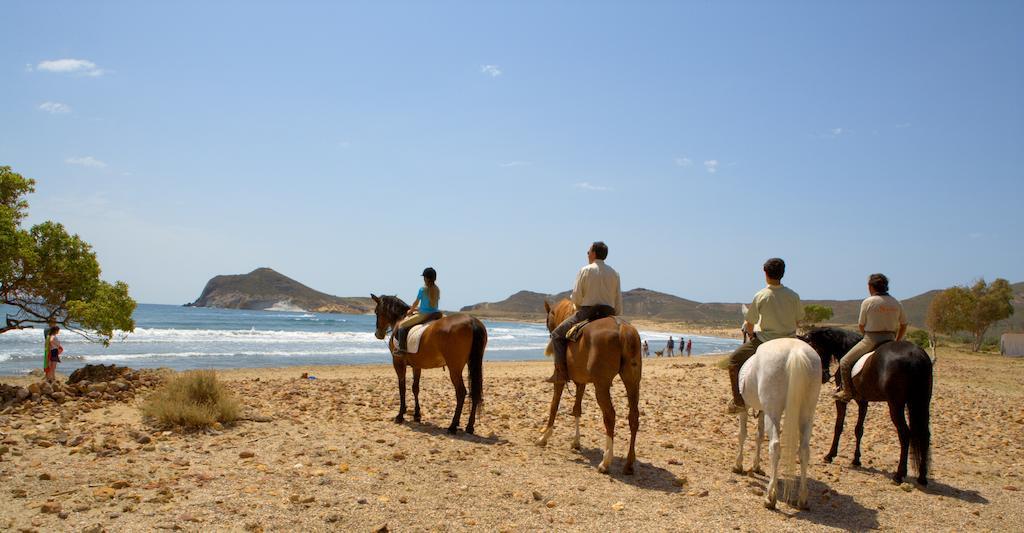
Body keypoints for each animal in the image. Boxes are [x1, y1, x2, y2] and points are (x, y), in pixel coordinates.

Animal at [372, 292, 487, 433]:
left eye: (376, 312)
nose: (378, 334)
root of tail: (472, 321)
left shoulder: (398, 363)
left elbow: (402, 387)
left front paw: (400, 415)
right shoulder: (417, 366)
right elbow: (415, 388)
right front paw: (417, 415)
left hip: (454, 369)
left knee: (461, 392)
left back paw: (453, 426)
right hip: (473, 364)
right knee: (475, 392)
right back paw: (470, 427)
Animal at [536, 298, 638, 474]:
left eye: (547, 320)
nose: (550, 332)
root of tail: (622, 328)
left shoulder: (560, 380)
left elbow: (554, 406)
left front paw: (544, 437)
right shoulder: (581, 382)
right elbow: (577, 409)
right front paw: (576, 442)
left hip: (602, 386)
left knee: (610, 416)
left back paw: (605, 462)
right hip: (633, 381)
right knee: (633, 417)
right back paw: (629, 464)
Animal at [737, 339, 823, 509]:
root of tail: (796, 351)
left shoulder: (746, 407)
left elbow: (743, 434)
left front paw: (738, 465)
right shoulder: (762, 410)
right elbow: (759, 435)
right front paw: (756, 466)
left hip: (773, 411)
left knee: (775, 446)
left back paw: (770, 496)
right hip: (807, 413)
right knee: (804, 450)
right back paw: (802, 499)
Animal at [798, 325, 937, 484]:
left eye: (814, 349)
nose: (823, 376)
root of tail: (915, 356)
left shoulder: (842, 401)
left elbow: (838, 426)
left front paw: (830, 455)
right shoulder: (863, 402)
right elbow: (859, 429)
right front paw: (856, 460)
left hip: (896, 405)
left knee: (904, 434)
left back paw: (899, 475)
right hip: (922, 402)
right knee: (924, 435)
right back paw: (922, 477)